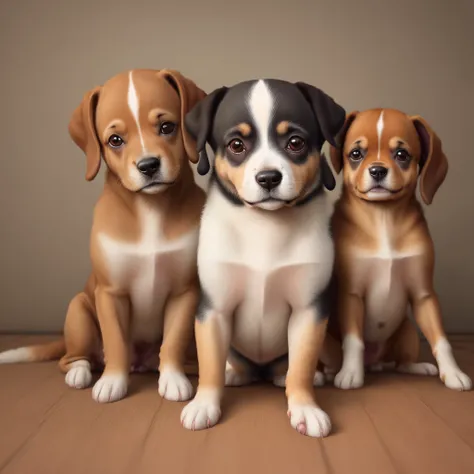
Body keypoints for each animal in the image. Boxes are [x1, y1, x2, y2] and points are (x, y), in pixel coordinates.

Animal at [0, 69, 207, 404]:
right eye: (115, 140)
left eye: (167, 127)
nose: (148, 165)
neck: (150, 209)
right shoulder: (110, 294)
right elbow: (116, 341)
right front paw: (112, 382)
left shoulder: (184, 292)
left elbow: (173, 341)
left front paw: (173, 378)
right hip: (79, 311)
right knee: (73, 358)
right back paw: (80, 372)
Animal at [180, 78, 346, 436]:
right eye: (236, 145)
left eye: (295, 142)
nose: (268, 178)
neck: (265, 226)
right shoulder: (214, 309)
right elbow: (209, 363)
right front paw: (204, 404)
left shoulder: (308, 310)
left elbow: (301, 366)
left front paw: (305, 407)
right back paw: (235, 374)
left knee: (290, 367)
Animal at [328, 109, 472, 390]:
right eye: (356, 154)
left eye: (402, 155)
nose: (377, 170)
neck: (383, 218)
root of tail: (374, 362)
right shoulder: (351, 295)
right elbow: (354, 340)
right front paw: (350, 373)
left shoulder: (423, 295)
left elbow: (441, 340)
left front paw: (453, 373)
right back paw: (331, 371)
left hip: (408, 331)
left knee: (400, 363)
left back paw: (418, 367)